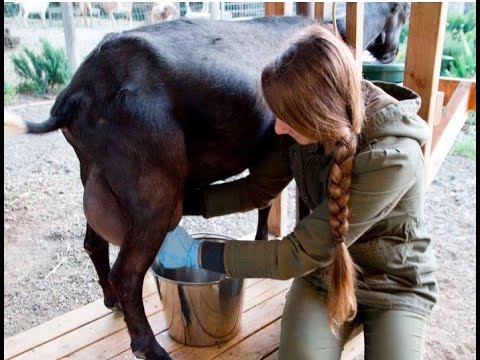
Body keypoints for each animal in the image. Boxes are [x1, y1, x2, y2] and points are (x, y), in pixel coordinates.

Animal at [5, 5, 406, 360]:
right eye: (400, 13)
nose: (390, 50)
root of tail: (76, 94)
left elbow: (263, 199)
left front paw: (261, 238)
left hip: (96, 176)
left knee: (94, 244)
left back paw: (112, 302)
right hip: (153, 192)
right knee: (127, 273)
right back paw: (150, 348)